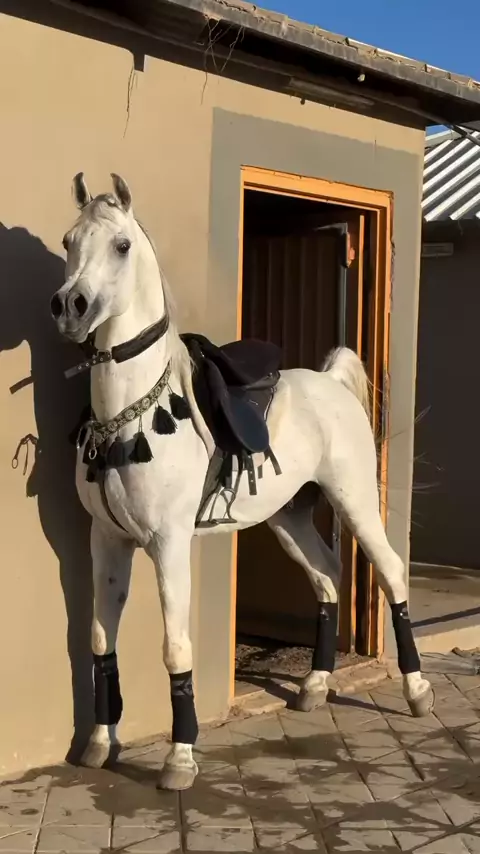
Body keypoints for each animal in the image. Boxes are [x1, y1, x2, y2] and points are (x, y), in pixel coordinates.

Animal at [50, 172, 434, 791]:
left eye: (122, 245)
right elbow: (101, 639)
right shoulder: (106, 542)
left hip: (353, 501)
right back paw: (315, 685)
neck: (128, 416)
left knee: (392, 572)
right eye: (68, 241)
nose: (69, 306)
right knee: (326, 577)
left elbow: (175, 646)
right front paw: (100, 743)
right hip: (288, 517)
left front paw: (180, 757)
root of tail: (330, 383)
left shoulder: (168, 544)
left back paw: (418, 691)